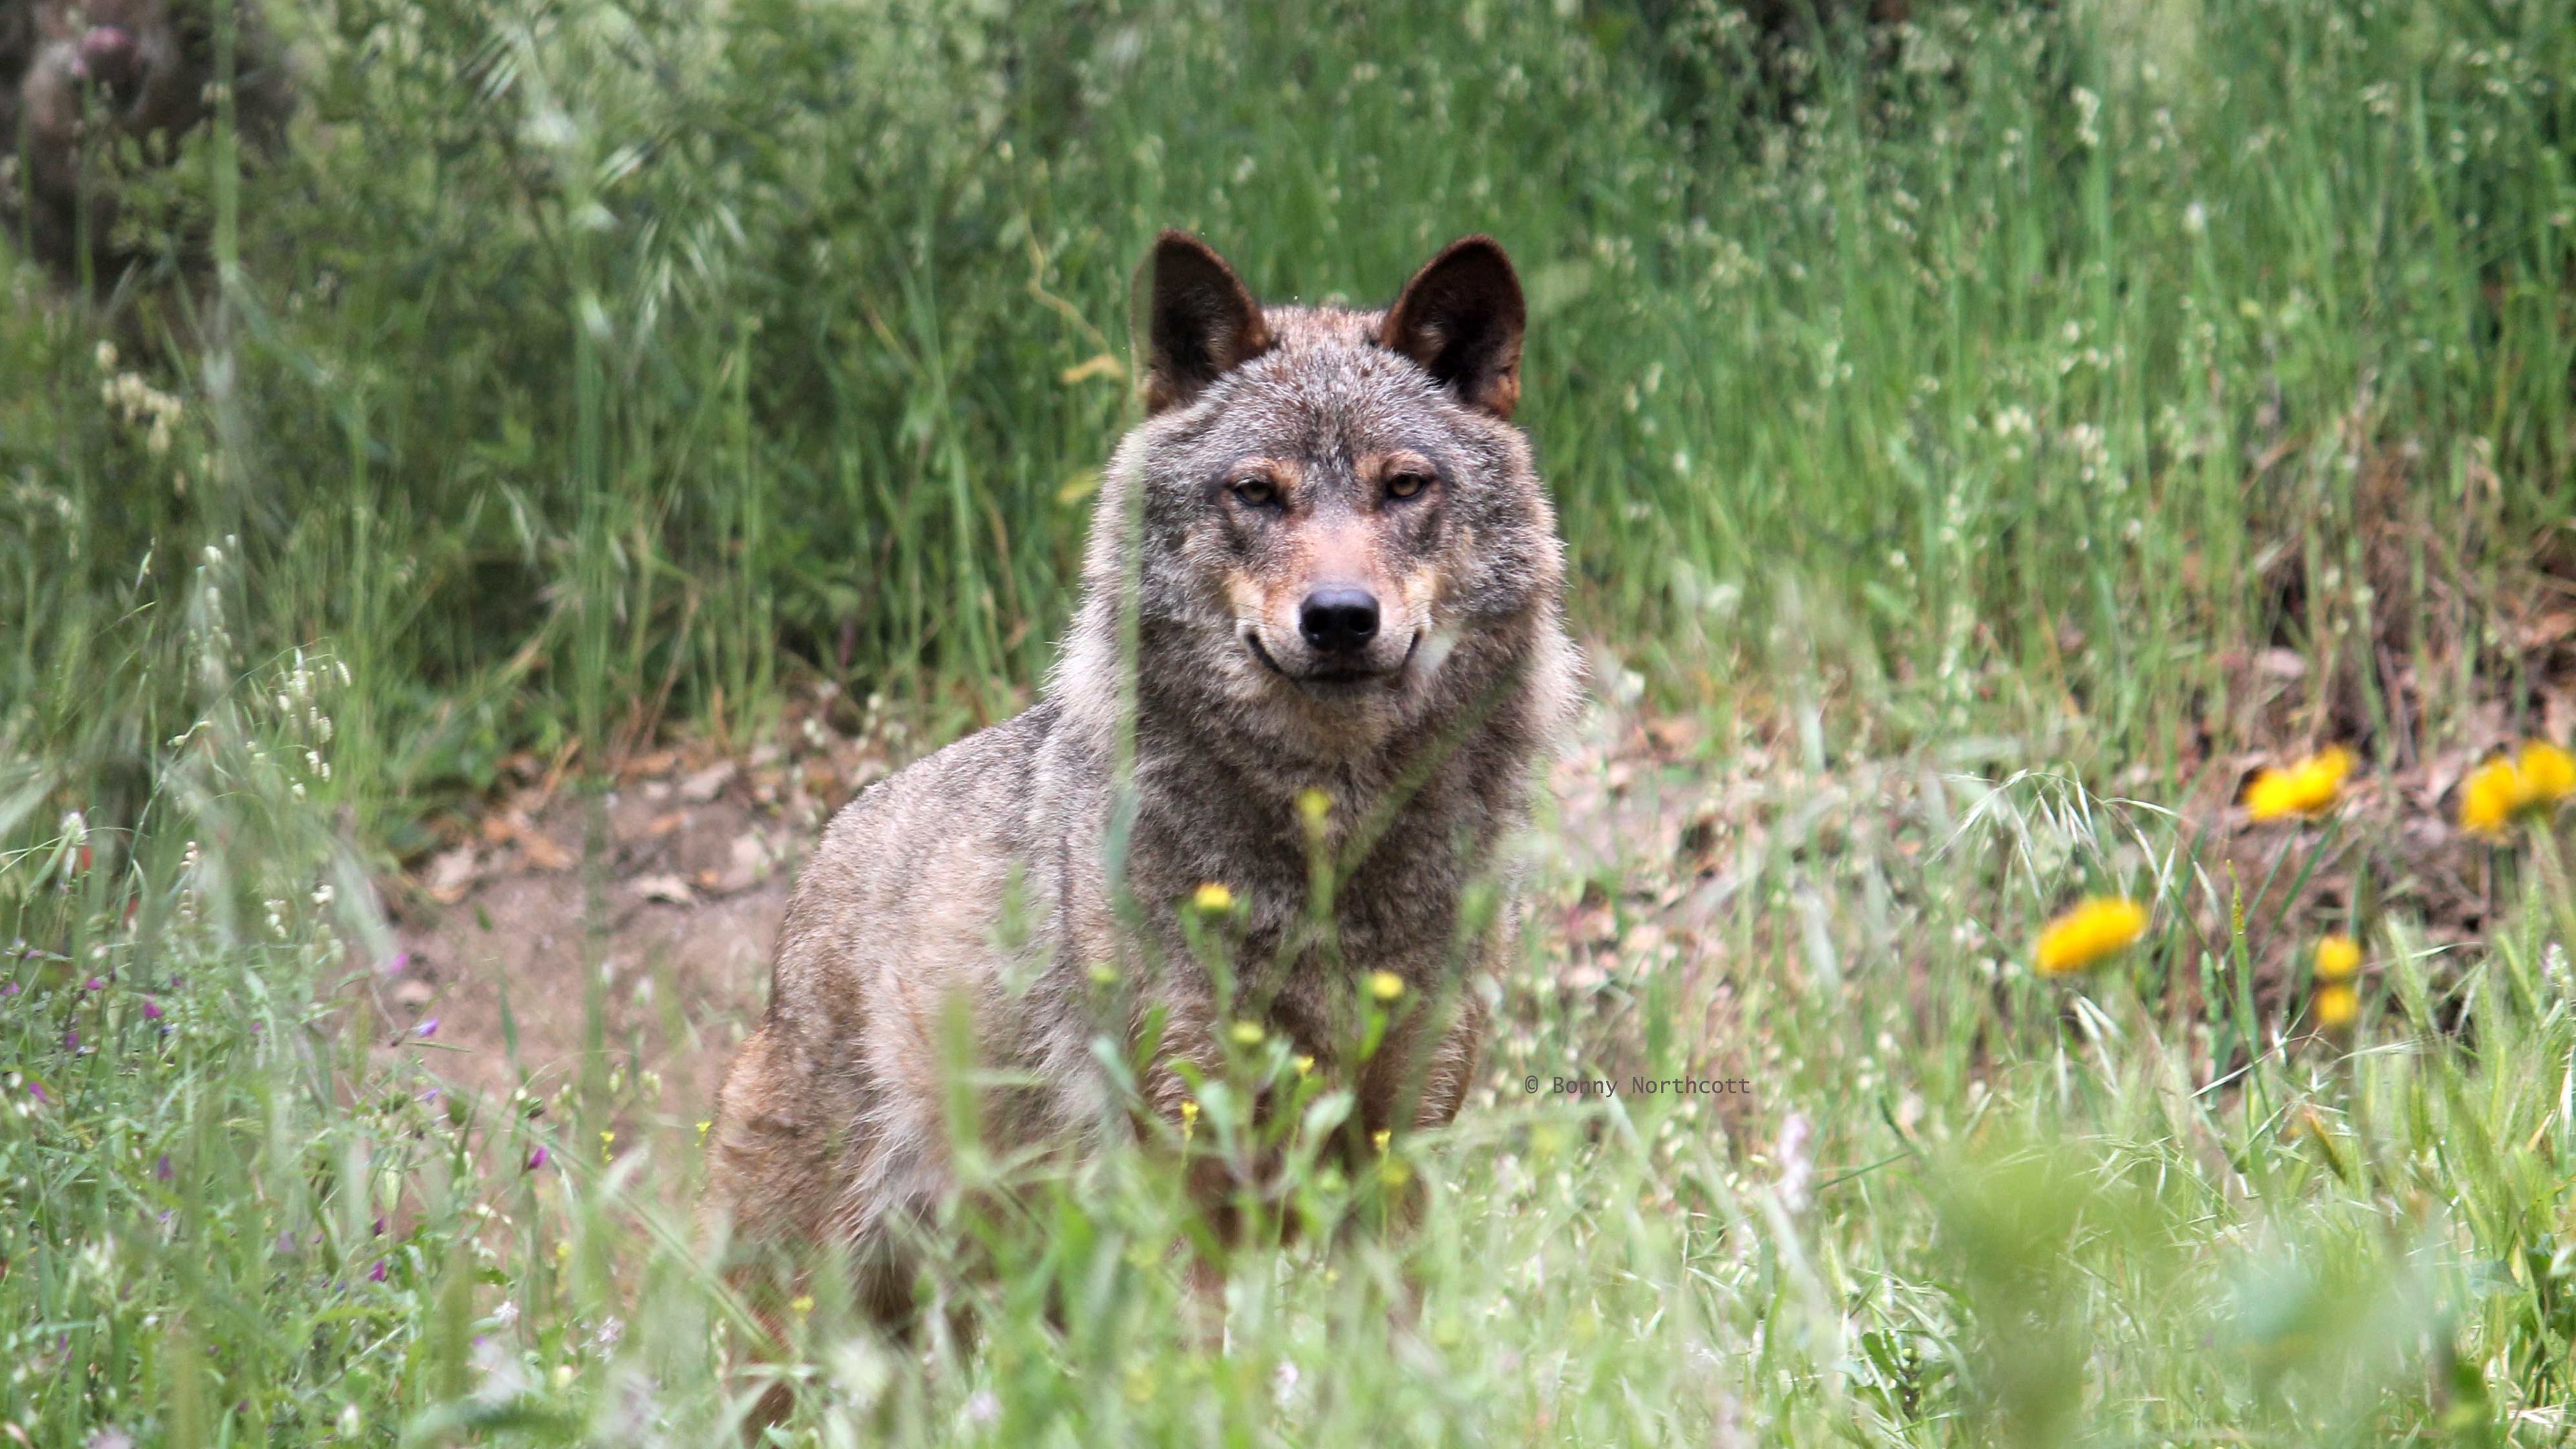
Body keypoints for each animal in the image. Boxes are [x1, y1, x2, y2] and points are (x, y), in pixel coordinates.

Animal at [704, 232, 1578, 1342]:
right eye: (1257, 493)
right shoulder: (1185, 1175)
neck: (1325, 847)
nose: (1341, 617)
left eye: (1404, 487)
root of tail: (825, 855)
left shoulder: (1395, 1166)